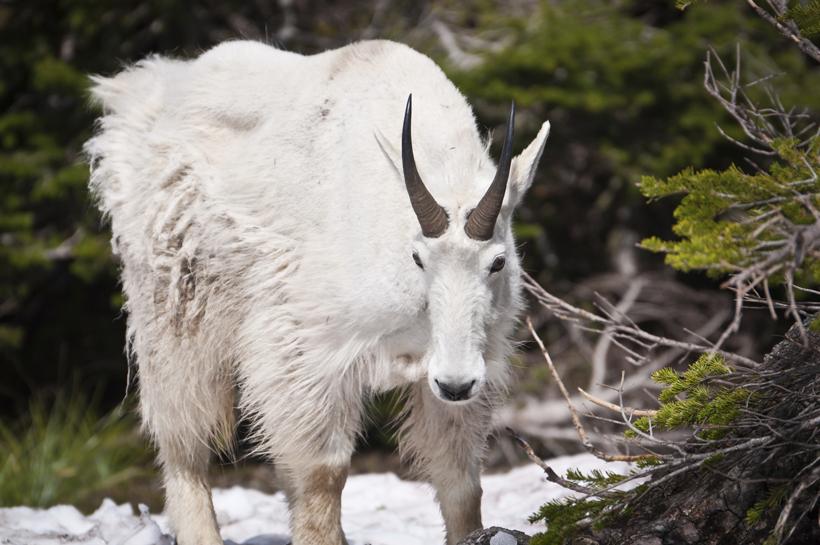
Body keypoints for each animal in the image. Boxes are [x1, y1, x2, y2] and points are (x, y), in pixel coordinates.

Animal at [85, 39, 550, 545]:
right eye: (418, 258)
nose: (455, 383)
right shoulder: (306, 353)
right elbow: (323, 477)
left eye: (498, 262)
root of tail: (138, 95)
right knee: (184, 445)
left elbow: (460, 482)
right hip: (174, 312)